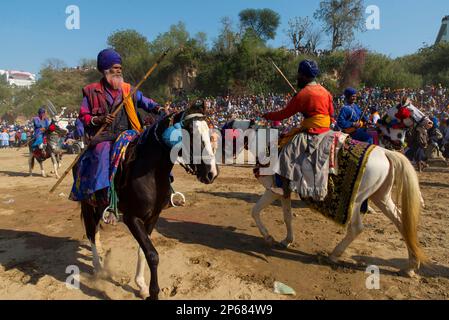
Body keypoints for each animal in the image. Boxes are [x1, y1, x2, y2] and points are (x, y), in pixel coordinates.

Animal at [250, 145, 426, 278]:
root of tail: (386, 152)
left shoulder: (273, 189)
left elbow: (255, 211)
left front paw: (268, 237)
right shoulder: (283, 192)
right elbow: (287, 216)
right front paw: (287, 240)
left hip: (356, 201)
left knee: (356, 228)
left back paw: (334, 255)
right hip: (381, 197)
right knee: (402, 223)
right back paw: (410, 267)